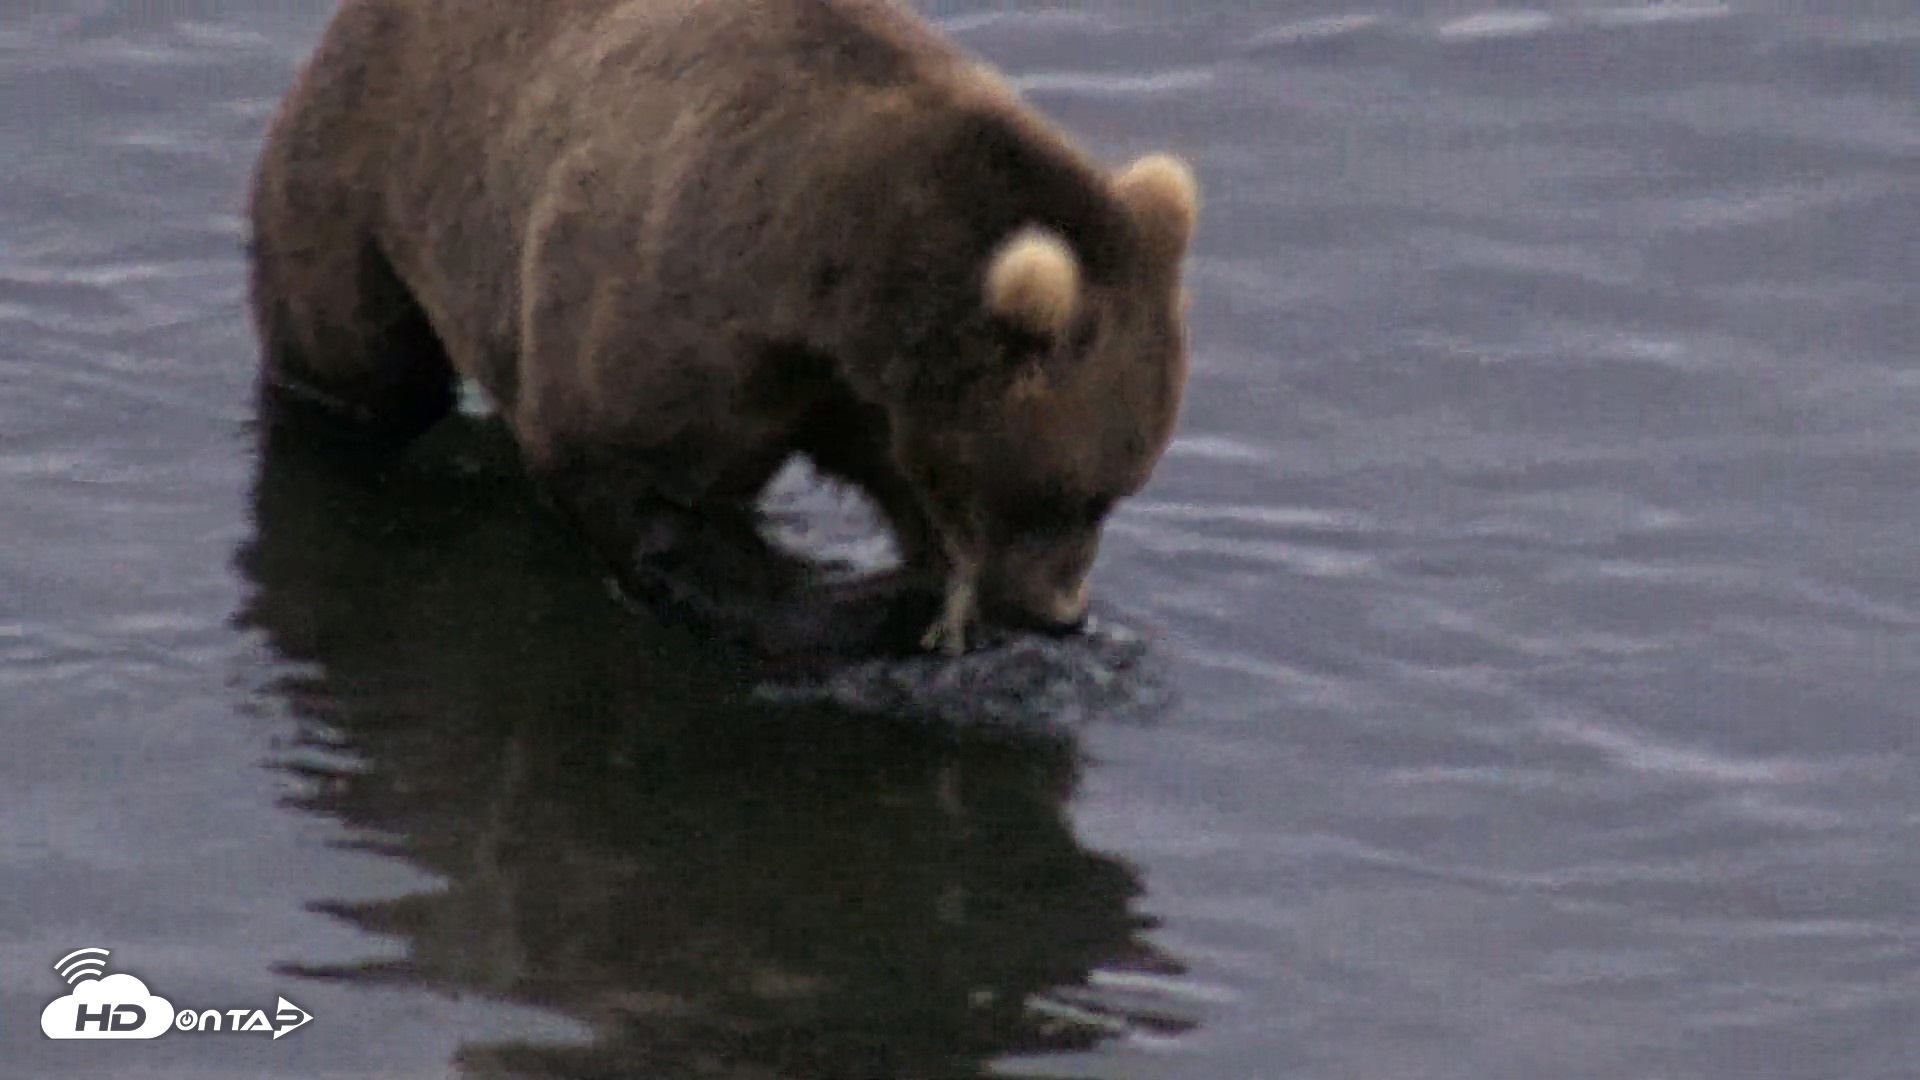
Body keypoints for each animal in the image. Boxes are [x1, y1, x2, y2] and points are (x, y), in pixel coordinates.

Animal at [245, 0, 1200, 656]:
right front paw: (856, 605)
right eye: (1075, 492)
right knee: (358, 364)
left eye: (1127, 485)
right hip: (365, 187)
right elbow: (636, 483)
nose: (1062, 613)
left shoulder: (851, 394)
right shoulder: (671, 309)